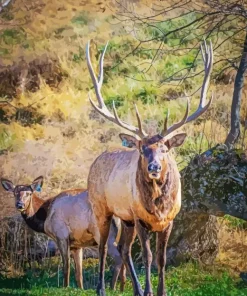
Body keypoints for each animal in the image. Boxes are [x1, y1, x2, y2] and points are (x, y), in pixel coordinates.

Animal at [86, 39, 213, 296]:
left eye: (165, 149)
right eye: (143, 149)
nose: (154, 166)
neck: (158, 208)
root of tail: (96, 160)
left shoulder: (169, 220)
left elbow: (161, 259)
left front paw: (160, 291)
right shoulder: (139, 218)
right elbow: (148, 256)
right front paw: (149, 291)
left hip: (125, 219)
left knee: (123, 249)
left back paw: (133, 288)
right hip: (101, 207)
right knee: (103, 247)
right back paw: (102, 289)